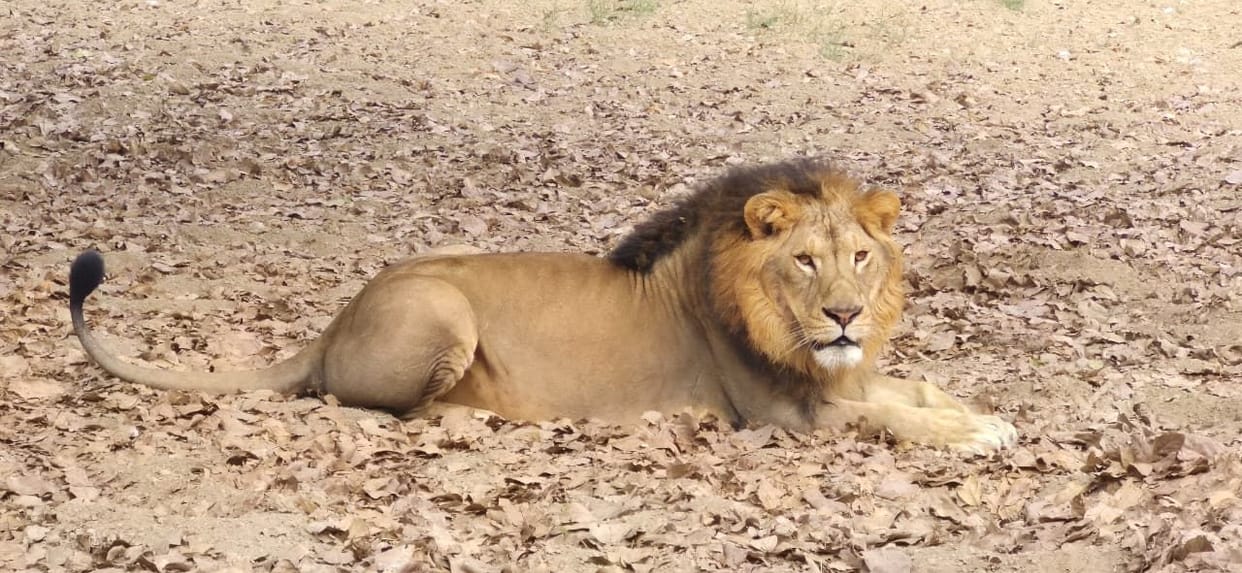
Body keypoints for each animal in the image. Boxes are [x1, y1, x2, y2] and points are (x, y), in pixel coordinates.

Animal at [69, 159, 1016, 452]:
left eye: (860, 256)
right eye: (805, 261)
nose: (847, 315)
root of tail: (336, 319)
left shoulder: (837, 379)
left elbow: (918, 391)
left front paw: (986, 417)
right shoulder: (782, 414)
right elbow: (891, 415)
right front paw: (972, 435)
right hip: (442, 309)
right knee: (377, 407)